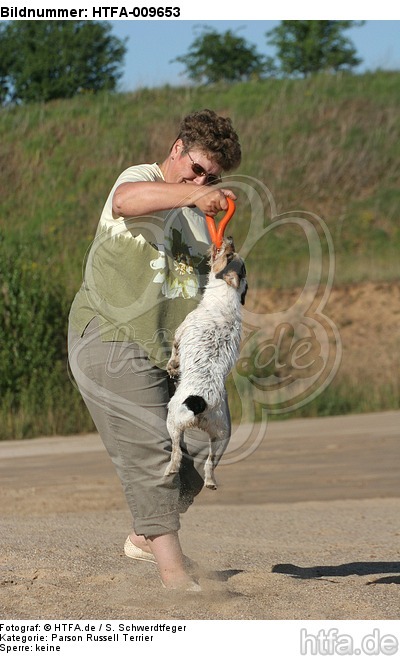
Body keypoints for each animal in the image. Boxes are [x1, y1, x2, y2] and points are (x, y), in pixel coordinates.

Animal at [165, 238, 247, 490]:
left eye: (228, 255)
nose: (229, 239)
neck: (226, 300)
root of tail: (202, 402)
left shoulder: (181, 331)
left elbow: (174, 351)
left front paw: (172, 366)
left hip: (173, 421)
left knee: (177, 453)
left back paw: (170, 470)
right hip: (221, 436)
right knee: (210, 463)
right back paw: (210, 482)